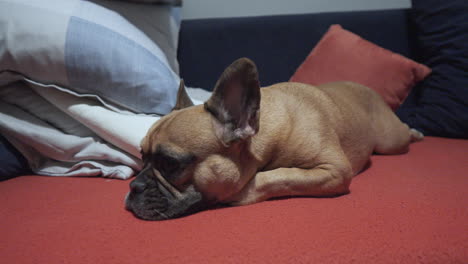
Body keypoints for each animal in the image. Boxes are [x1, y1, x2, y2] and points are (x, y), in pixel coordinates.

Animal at [124, 58, 424, 221]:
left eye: (171, 164)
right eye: (141, 156)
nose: (133, 187)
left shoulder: (335, 170)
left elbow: (278, 176)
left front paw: (240, 193)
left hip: (390, 142)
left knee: (403, 131)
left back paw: (416, 133)